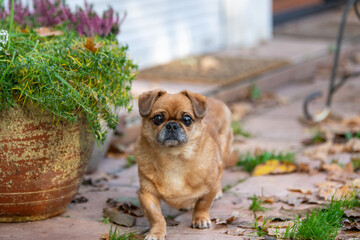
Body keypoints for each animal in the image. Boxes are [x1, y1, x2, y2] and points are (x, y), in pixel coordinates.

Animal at [134, 89, 232, 239]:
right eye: (158, 118)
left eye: (187, 119)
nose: (172, 125)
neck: (173, 157)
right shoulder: (147, 194)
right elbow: (156, 216)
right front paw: (156, 232)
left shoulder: (210, 187)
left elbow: (203, 203)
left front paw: (200, 218)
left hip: (223, 153)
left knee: (220, 173)